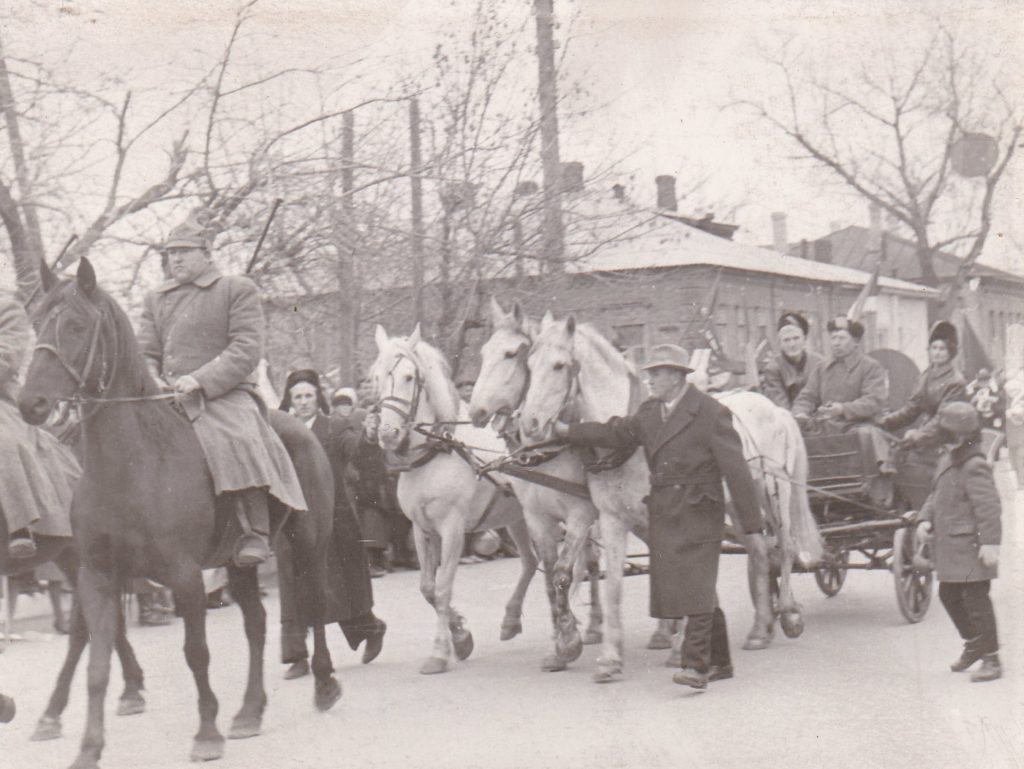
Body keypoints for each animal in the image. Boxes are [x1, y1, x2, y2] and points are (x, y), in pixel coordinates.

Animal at [18, 260, 339, 769]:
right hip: (237, 563)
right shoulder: (97, 576)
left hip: (309, 544)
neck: (132, 467)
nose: (31, 404)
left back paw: (324, 685)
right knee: (255, 623)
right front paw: (88, 748)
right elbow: (97, 663)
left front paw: (206, 733)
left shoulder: (185, 577)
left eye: (76, 326)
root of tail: (301, 427)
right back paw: (249, 711)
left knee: (316, 605)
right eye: (37, 324)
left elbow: (196, 652)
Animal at [370, 325, 544, 671]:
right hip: (516, 518)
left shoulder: (451, 528)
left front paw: (440, 651)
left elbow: (442, 588)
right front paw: (460, 635)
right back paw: (511, 620)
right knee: (531, 562)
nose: (387, 434)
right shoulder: (422, 529)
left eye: (409, 377)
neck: (439, 450)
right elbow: (427, 588)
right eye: (376, 377)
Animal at [520, 315, 823, 684]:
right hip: (739, 503)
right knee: (762, 553)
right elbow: (613, 587)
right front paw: (610, 659)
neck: (627, 446)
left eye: (559, 365)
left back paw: (789, 615)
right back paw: (760, 629)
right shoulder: (611, 518)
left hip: (773, 494)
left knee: (787, 547)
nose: (529, 423)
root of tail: (775, 408)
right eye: (528, 364)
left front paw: (680, 648)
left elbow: (679, 576)